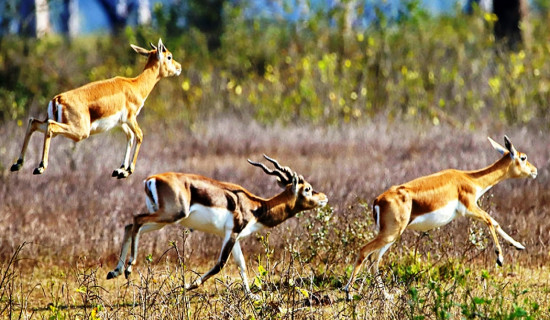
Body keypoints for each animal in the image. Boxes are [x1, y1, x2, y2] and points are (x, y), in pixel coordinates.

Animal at [9, 38, 181, 179]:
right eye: (169, 56)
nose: (179, 67)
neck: (135, 86)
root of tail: (57, 99)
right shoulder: (131, 118)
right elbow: (139, 135)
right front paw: (127, 171)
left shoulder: (121, 123)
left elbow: (130, 137)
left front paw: (119, 170)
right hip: (80, 131)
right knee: (50, 127)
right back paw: (40, 167)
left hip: (58, 125)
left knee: (33, 122)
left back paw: (17, 164)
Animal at [106, 155, 328, 298]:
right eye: (307, 189)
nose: (324, 197)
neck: (256, 207)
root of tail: (151, 179)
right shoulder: (232, 233)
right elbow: (221, 264)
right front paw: (189, 285)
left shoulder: (234, 237)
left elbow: (241, 265)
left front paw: (251, 296)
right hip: (171, 215)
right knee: (136, 220)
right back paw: (128, 268)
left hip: (162, 220)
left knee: (130, 226)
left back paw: (115, 271)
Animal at [344, 136, 540, 298]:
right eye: (523, 157)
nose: (535, 171)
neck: (470, 180)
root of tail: (378, 200)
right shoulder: (470, 208)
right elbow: (491, 221)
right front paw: (500, 258)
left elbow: (495, 223)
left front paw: (519, 246)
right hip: (390, 234)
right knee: (364, 251)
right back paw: (348, 293)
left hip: (391, 235)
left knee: (374, 259)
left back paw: (386, 296)